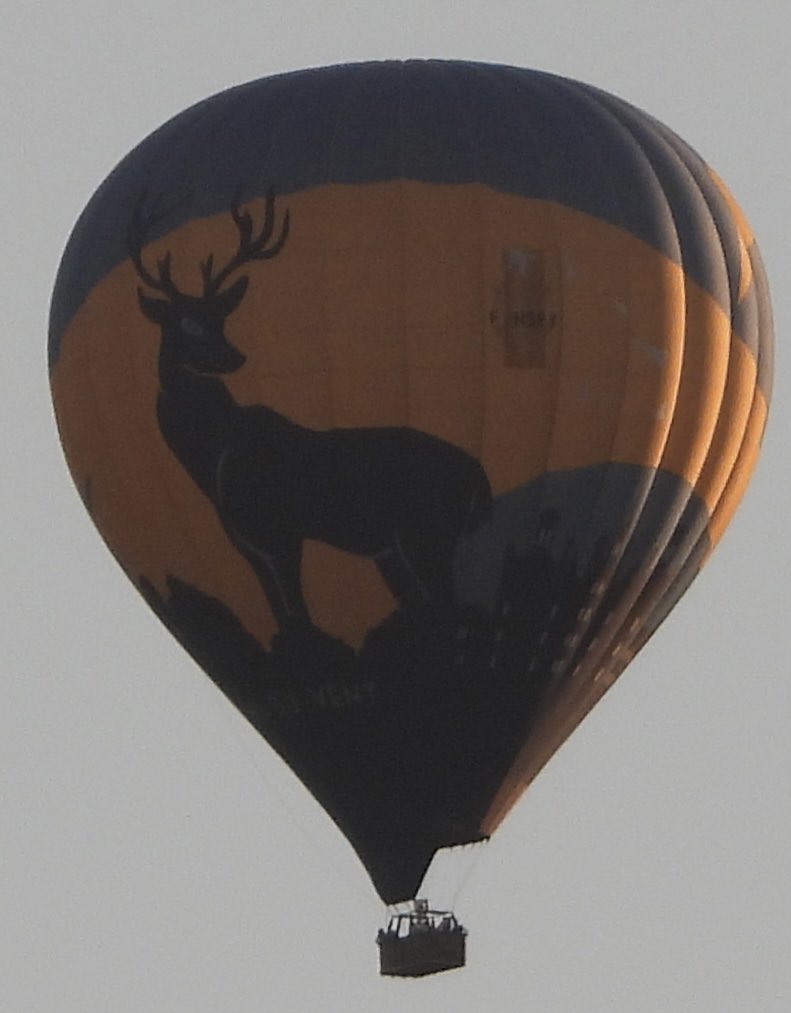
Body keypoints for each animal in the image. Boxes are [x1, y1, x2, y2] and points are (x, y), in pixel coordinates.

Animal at [129, 187, 493, 671]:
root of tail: (479, 477)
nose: (234, 356)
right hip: (395, 553)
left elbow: (299, 616)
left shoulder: (281, 531)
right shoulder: (244, 541)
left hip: (428, 534)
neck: (213, 457)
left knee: (451, 612)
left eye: (220, 318)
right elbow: (282, 614)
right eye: (187, 321)